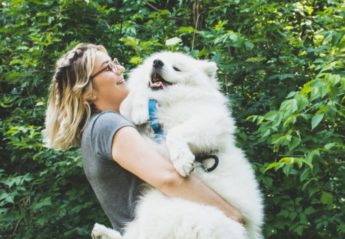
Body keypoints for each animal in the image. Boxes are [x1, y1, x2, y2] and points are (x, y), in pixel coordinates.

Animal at [91, 51, 264, 239]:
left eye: (177, 68)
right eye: (154, 61)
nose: (157, 62)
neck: (166, 102)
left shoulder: (211, 122)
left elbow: (176, 132)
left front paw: (182, 161)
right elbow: (134, 98)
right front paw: (139, 110)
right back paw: (101, 232)